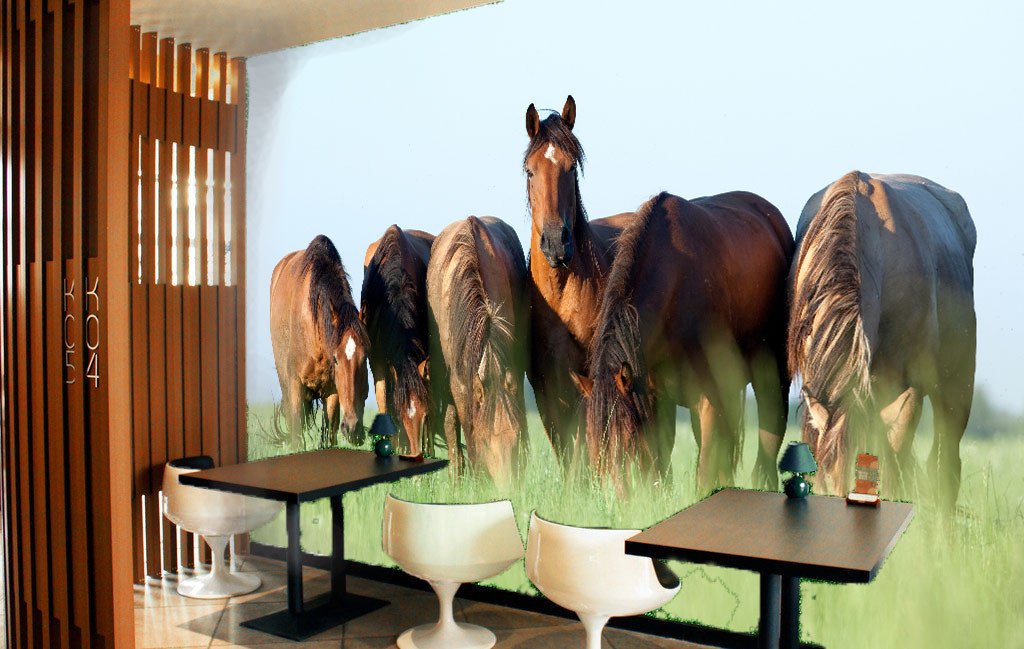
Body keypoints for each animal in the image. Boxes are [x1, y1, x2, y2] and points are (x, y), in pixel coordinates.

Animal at [270, 235, 369, 448]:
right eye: (336, 359)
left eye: (365, 357)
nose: (353, 429)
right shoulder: (295, 386)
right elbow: (296, 436)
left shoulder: (332, 392)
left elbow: (328, 435)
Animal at [574, 191, 794, 493]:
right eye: (595, 446)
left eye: (628, 439)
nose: (617, 500)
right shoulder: (654, 399)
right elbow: (662, 464)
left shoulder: (709, 400)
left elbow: (705, 472)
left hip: (772, 378)